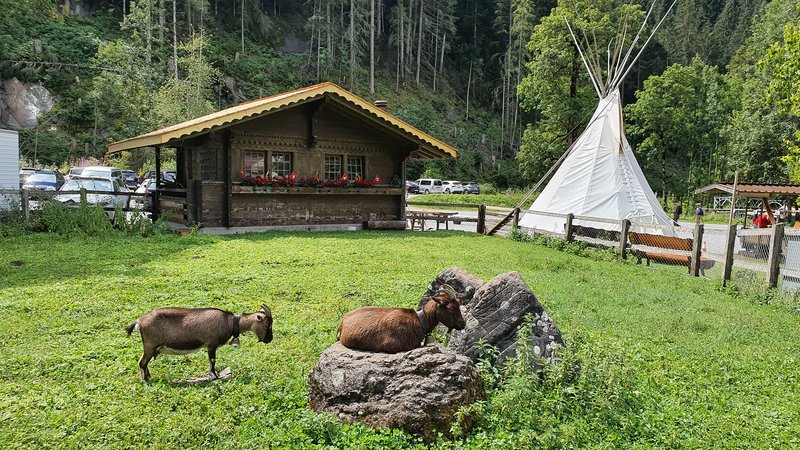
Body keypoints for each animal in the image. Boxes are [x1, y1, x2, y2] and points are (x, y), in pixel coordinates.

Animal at [125, 304, 274, 382]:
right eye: (268, 325)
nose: (269, 340)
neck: (230, 322)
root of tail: (139, 321)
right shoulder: (211, 344)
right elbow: (212, 360)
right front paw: (214, 375)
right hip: (150, 345)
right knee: (142, 362)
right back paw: (145, 380)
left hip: (150, 347)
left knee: (144, 362)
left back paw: (149, 376)